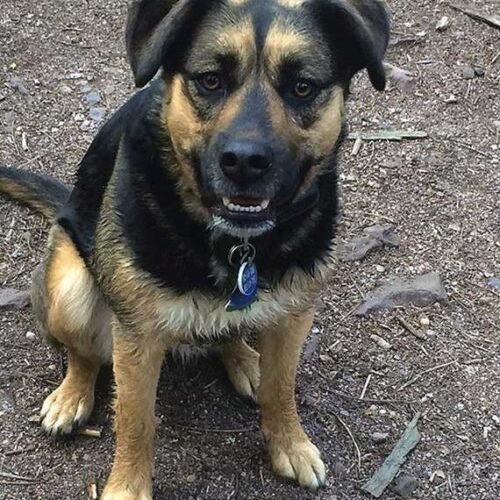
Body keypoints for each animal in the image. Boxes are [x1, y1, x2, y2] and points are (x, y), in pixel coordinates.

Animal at [0, 0, 390, 496]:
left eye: (302, 87)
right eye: (210, 80)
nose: (244, 161)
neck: (238, 246)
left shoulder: (295, 314)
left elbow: (281, 388)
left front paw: (290, 443)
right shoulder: (137, 338)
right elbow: (135, 421)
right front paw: (127, 486)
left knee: (231, 334)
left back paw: (244, 358)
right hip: (70, 286)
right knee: (83, 352)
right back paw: (72, 394)